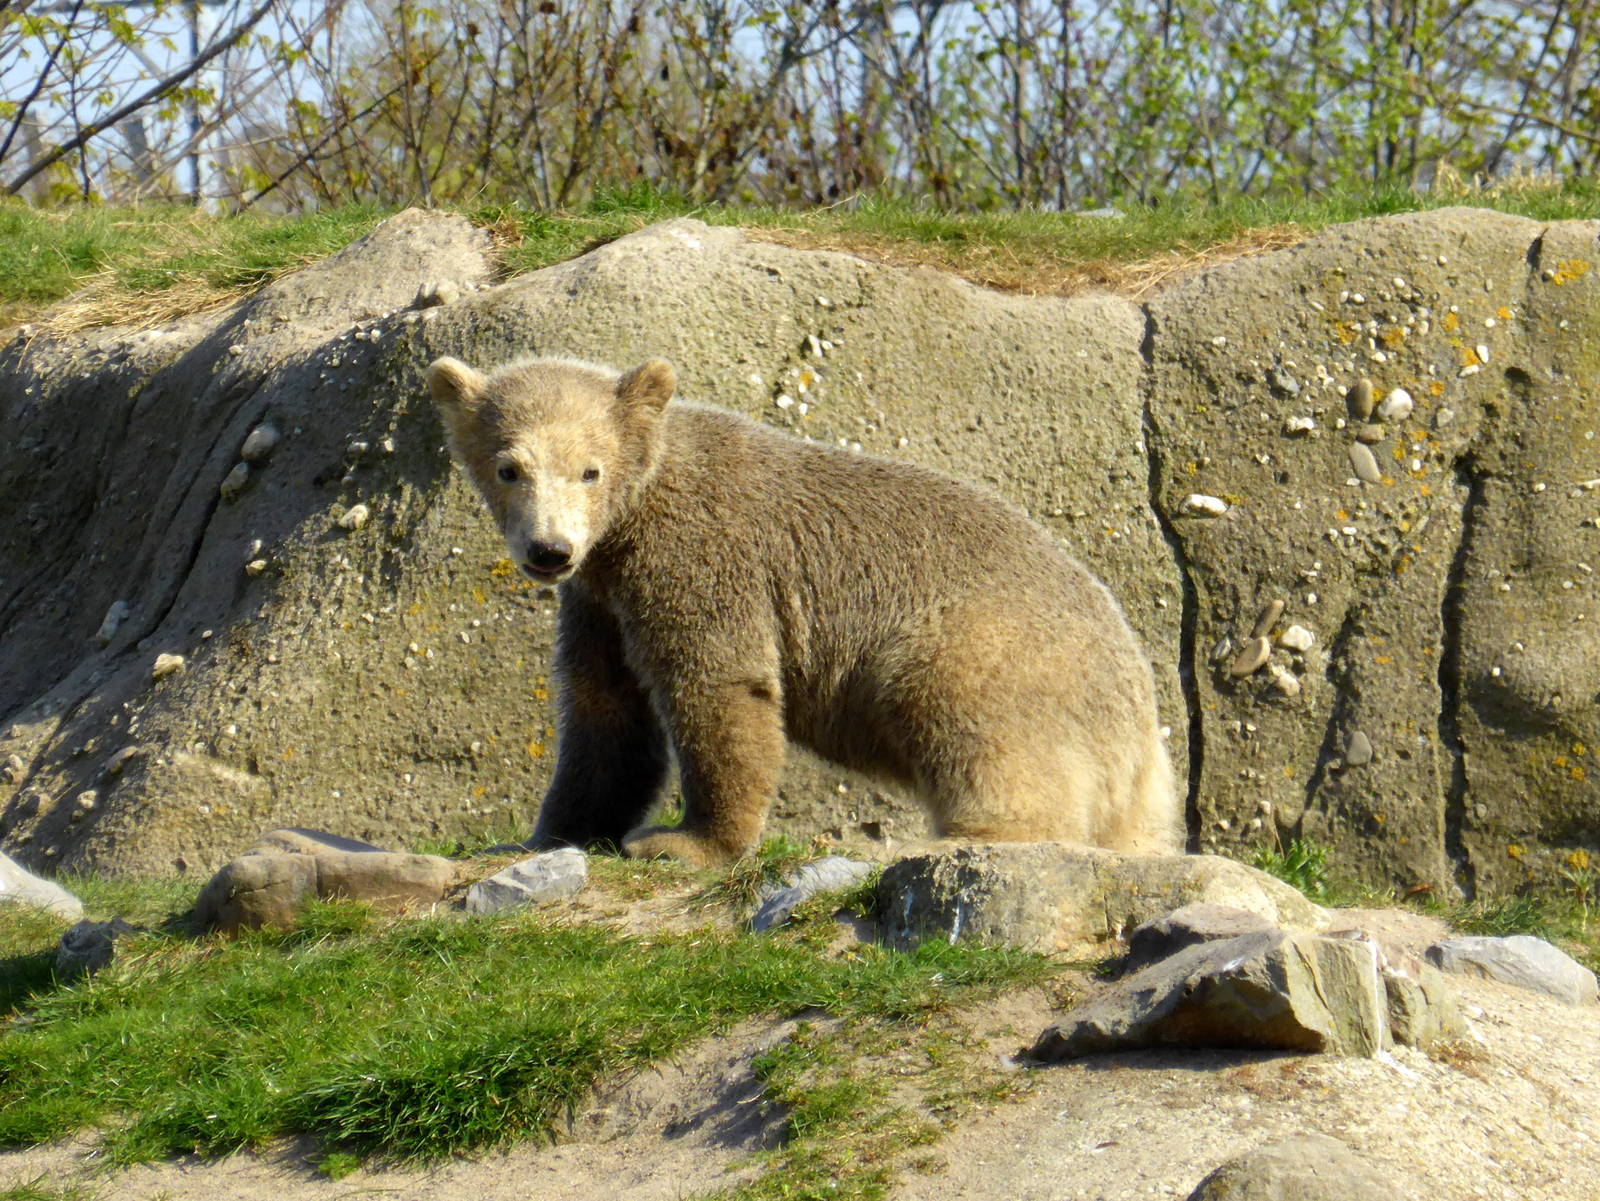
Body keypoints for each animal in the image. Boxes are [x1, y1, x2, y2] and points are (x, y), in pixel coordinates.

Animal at [426, 353, 1179, 867]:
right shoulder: (602, 596)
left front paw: (684, 841)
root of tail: (1143, 716)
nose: (550, 550)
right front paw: (552, 833)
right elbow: (604, 712)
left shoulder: (701, 557)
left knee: (977, 728)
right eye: (509, 467)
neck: (638, 513)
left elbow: (719, 687)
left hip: (990, 649)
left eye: (590, 469)